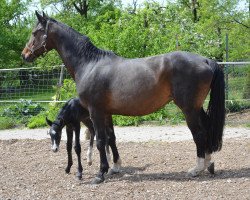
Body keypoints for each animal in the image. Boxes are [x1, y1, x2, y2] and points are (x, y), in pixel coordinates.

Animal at [21, 11, 225, 184]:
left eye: (35, 32)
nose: (25, 54)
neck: (89, 64)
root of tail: (206, 60)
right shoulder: (106, 113)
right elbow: (111, 138)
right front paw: (115, 167)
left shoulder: (95, 112)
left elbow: (101, 141)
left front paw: (100, 173)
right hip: (197, 108)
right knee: (206, 130)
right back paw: (209, 164)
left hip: (188, 109)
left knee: (199, 134)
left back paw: (197, 168)